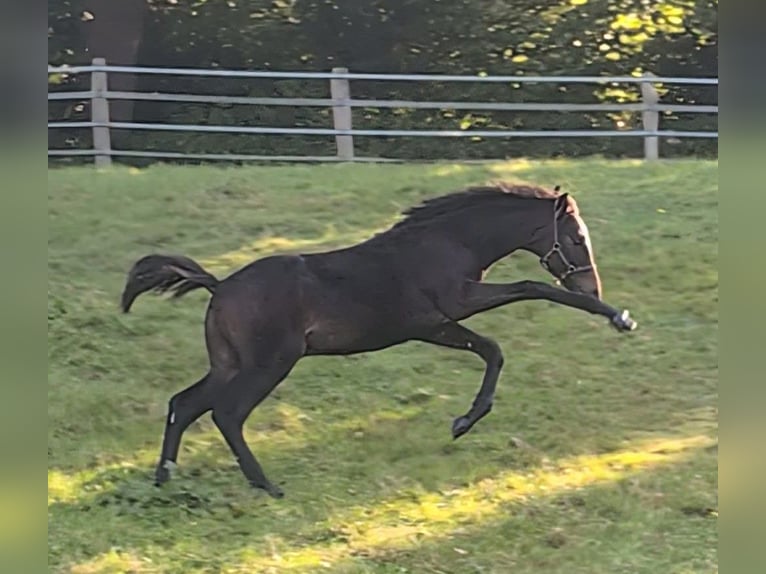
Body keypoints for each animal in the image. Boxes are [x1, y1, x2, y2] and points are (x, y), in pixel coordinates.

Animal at [120, 181, 636, 500]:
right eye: (575, 238)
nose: (592, 287)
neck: (448, 243)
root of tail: (219, 285)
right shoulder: (450, 310)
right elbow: (527, 298)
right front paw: (619, 318)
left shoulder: (439, 323)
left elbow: (496, 342)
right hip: (269, 364)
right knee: (226, 414)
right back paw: (266, 486)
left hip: (229, 363)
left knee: (184, 404)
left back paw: (164, 479)